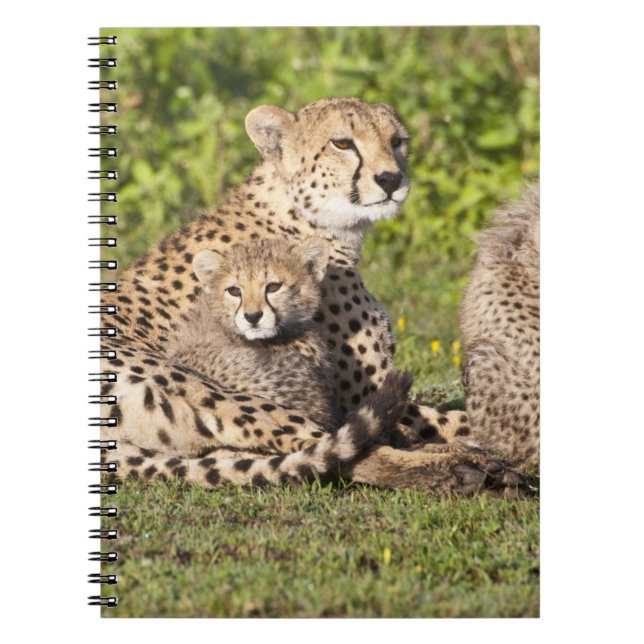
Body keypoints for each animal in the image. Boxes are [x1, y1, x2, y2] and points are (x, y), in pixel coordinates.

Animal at [100, 97, 525, 494]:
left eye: (397, 141)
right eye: (343, 143)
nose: (391, 179)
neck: (308, 220)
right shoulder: (354, 394)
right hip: (221, 391)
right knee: (341, 450)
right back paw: (463, 468)